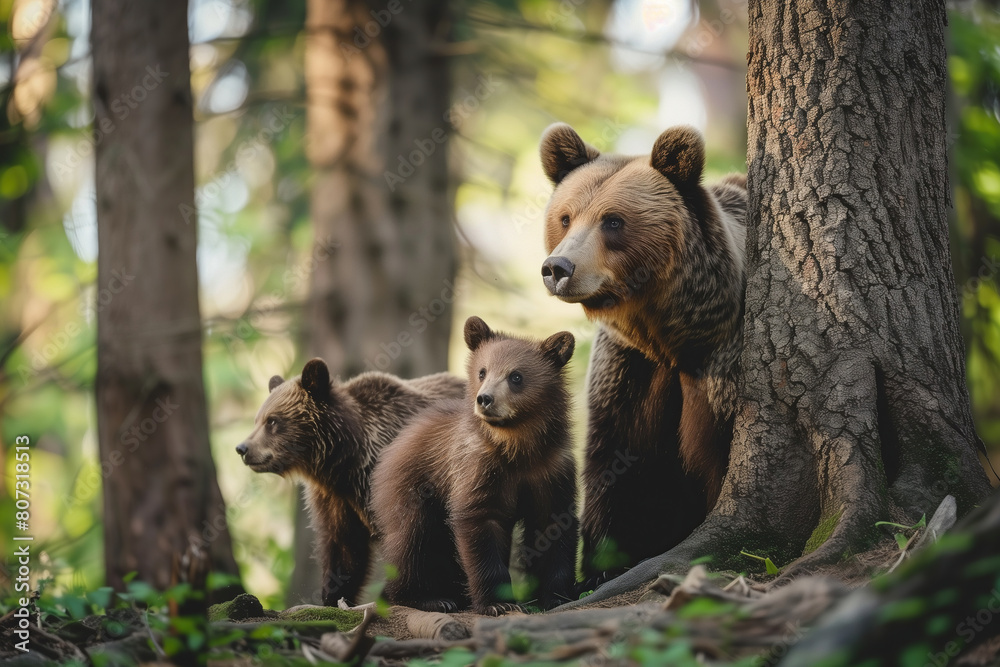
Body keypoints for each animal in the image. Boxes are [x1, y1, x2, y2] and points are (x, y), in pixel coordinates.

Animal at [236, 358, 465, 606]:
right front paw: (333, 597)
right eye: (257, 420)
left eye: (272, 421)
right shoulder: (335, 498)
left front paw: (426, 597)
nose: (243, 448)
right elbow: (343, 547)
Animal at [370, 316, 579, 615]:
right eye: (482, 372)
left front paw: (558, 595)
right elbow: (478, 522)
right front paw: (497, 602)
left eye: (516, 376)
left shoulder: (552, 469)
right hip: (411, 489)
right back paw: (428, 598)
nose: (484, 399)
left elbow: (553, 523)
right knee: (412, 539)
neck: (519, 448)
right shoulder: (478, 468)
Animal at [538, 123, 746, 582]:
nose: (558, 268)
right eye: (565, 217)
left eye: (613, 220)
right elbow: (625, 472)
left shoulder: (721, 363)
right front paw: (604, 566)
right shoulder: (632, 369)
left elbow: (721, 451)